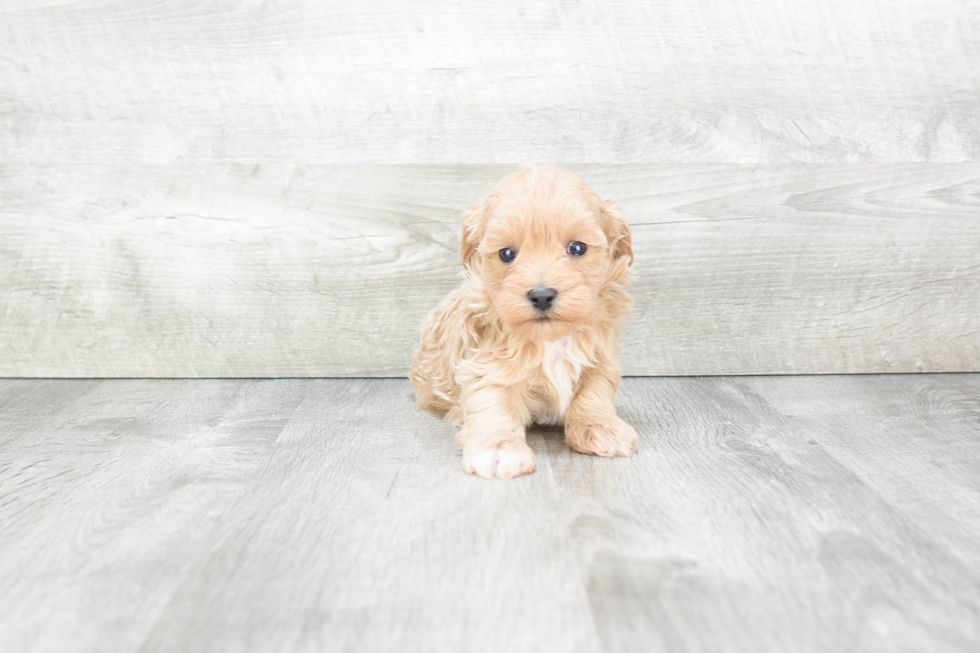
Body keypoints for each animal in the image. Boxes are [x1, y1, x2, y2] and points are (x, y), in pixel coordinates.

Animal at [412, 163, 636, 478]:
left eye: (577, 248)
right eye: (507, 253)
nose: (542, 295)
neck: (550, 339)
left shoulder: (600, 360)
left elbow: (593, 394)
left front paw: (600, 427)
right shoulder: (485, 365)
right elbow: (493, 404)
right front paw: (498, 448)